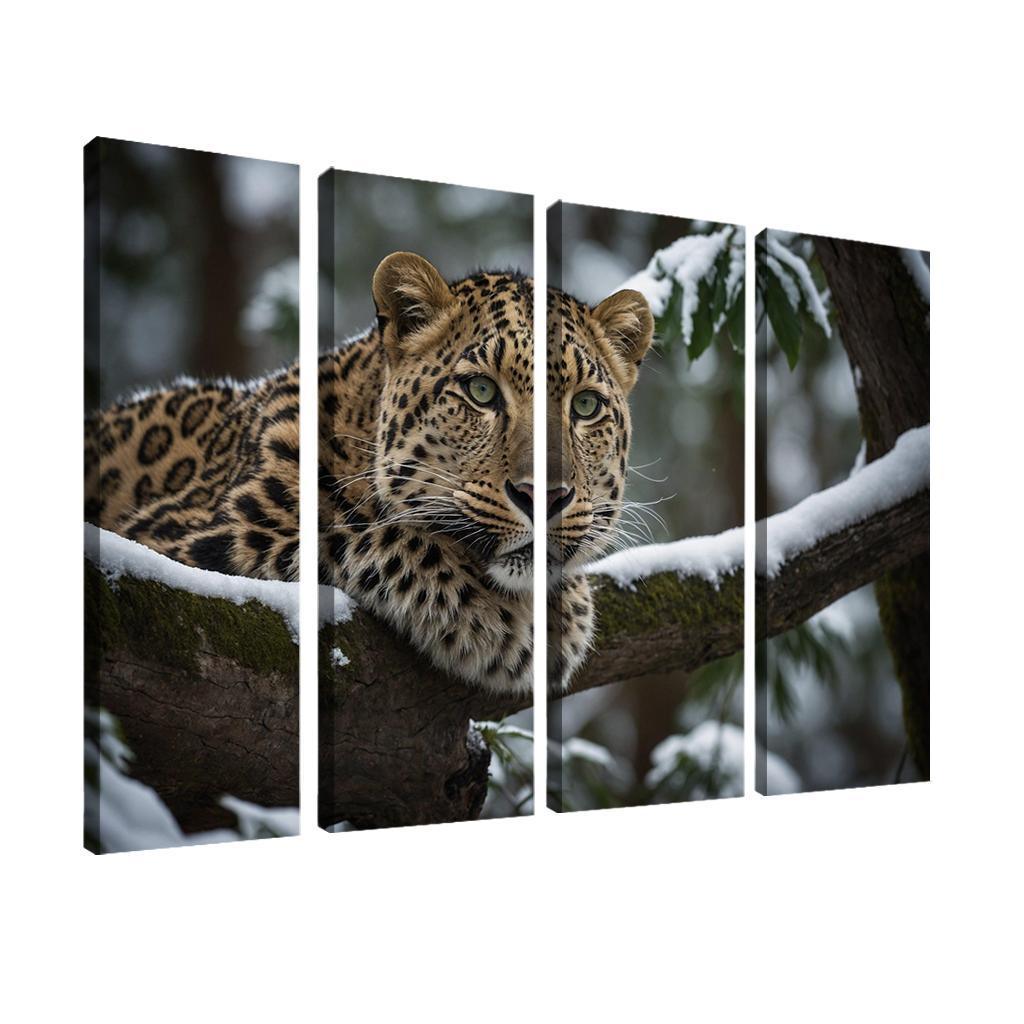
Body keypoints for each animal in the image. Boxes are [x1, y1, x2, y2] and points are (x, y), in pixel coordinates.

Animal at [84, 251, 652, 696]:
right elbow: (373, 535)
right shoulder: (185, 539)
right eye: (482, 391)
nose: (545, 497)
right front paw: (508, 620)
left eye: (584, 405)